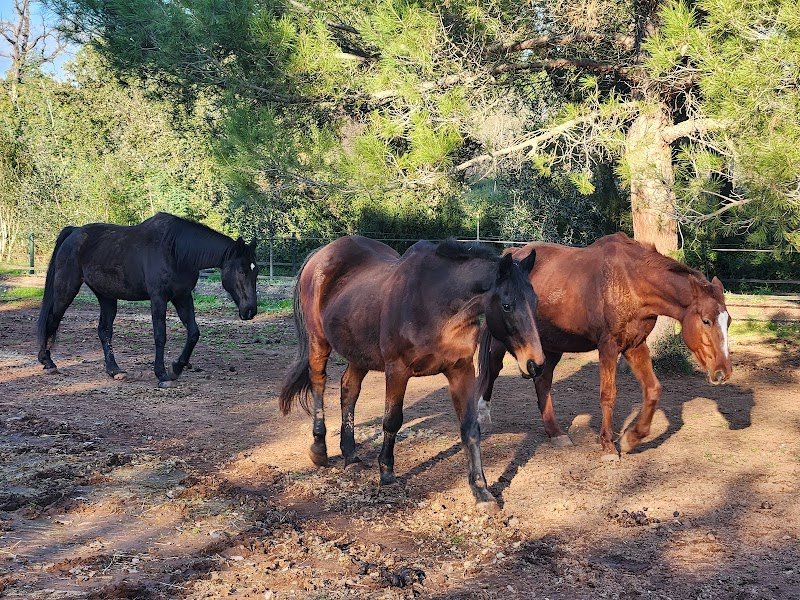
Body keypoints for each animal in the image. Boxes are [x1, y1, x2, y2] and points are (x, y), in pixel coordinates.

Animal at [37, 212, 259, 388]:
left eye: (256, 272)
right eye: (241, 271)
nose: (250, 311)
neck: (176, 251)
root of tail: (74, 232)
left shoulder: (182, 297)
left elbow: (194, 333)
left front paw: (176, 367)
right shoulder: (158, 298)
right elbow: (160, 335)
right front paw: (161, 374)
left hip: (107, 297)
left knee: (104, 331)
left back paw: (114, 370)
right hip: (66, 289)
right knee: (52, 320)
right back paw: (48, 363)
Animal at [278, 236, 545, 509]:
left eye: (535, 301)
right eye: (507, 305)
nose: (535, 364)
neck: (435, 305)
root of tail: (321, 253)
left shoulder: (461, 370)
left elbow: (470, 428)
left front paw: (481, 491)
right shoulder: (397, 370)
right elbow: (392, 420)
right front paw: (386, 473)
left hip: (359, 354)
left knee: (349, 390)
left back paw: (351, 456)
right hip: (319, 342)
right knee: (318, 383)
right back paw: (319, 448)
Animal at [477, 232, 733, 460]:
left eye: (728, 321)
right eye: (706, 321)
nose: (723, 372)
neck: (631, 282)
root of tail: (513, 254)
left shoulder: (635, 346)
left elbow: (653, 390)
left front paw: (631, 438)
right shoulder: (608, 346)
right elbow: (608, 395)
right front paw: (608, 446)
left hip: (550, 346)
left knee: (542, 380)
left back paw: (556, 433)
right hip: (504, 342)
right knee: (493, 370)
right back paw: (483, 417)